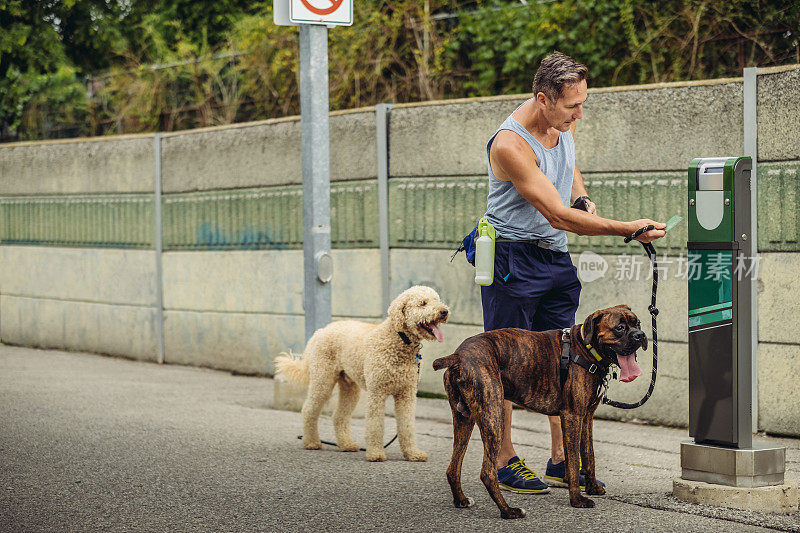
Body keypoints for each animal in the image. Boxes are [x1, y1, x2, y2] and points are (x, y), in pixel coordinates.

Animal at [434, 306, 648, 516]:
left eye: (637, 323)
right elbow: (573, 461)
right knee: (487, 472)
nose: (641, 335)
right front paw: (577, 499)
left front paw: (592, 487)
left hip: (464, 418)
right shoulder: (572, 416)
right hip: (493, 416)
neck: (586, 348)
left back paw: (461, 500)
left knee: (453, 467)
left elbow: (589, 456)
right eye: (619, 327)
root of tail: (458, 356)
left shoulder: (587, 418)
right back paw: (508, 511)